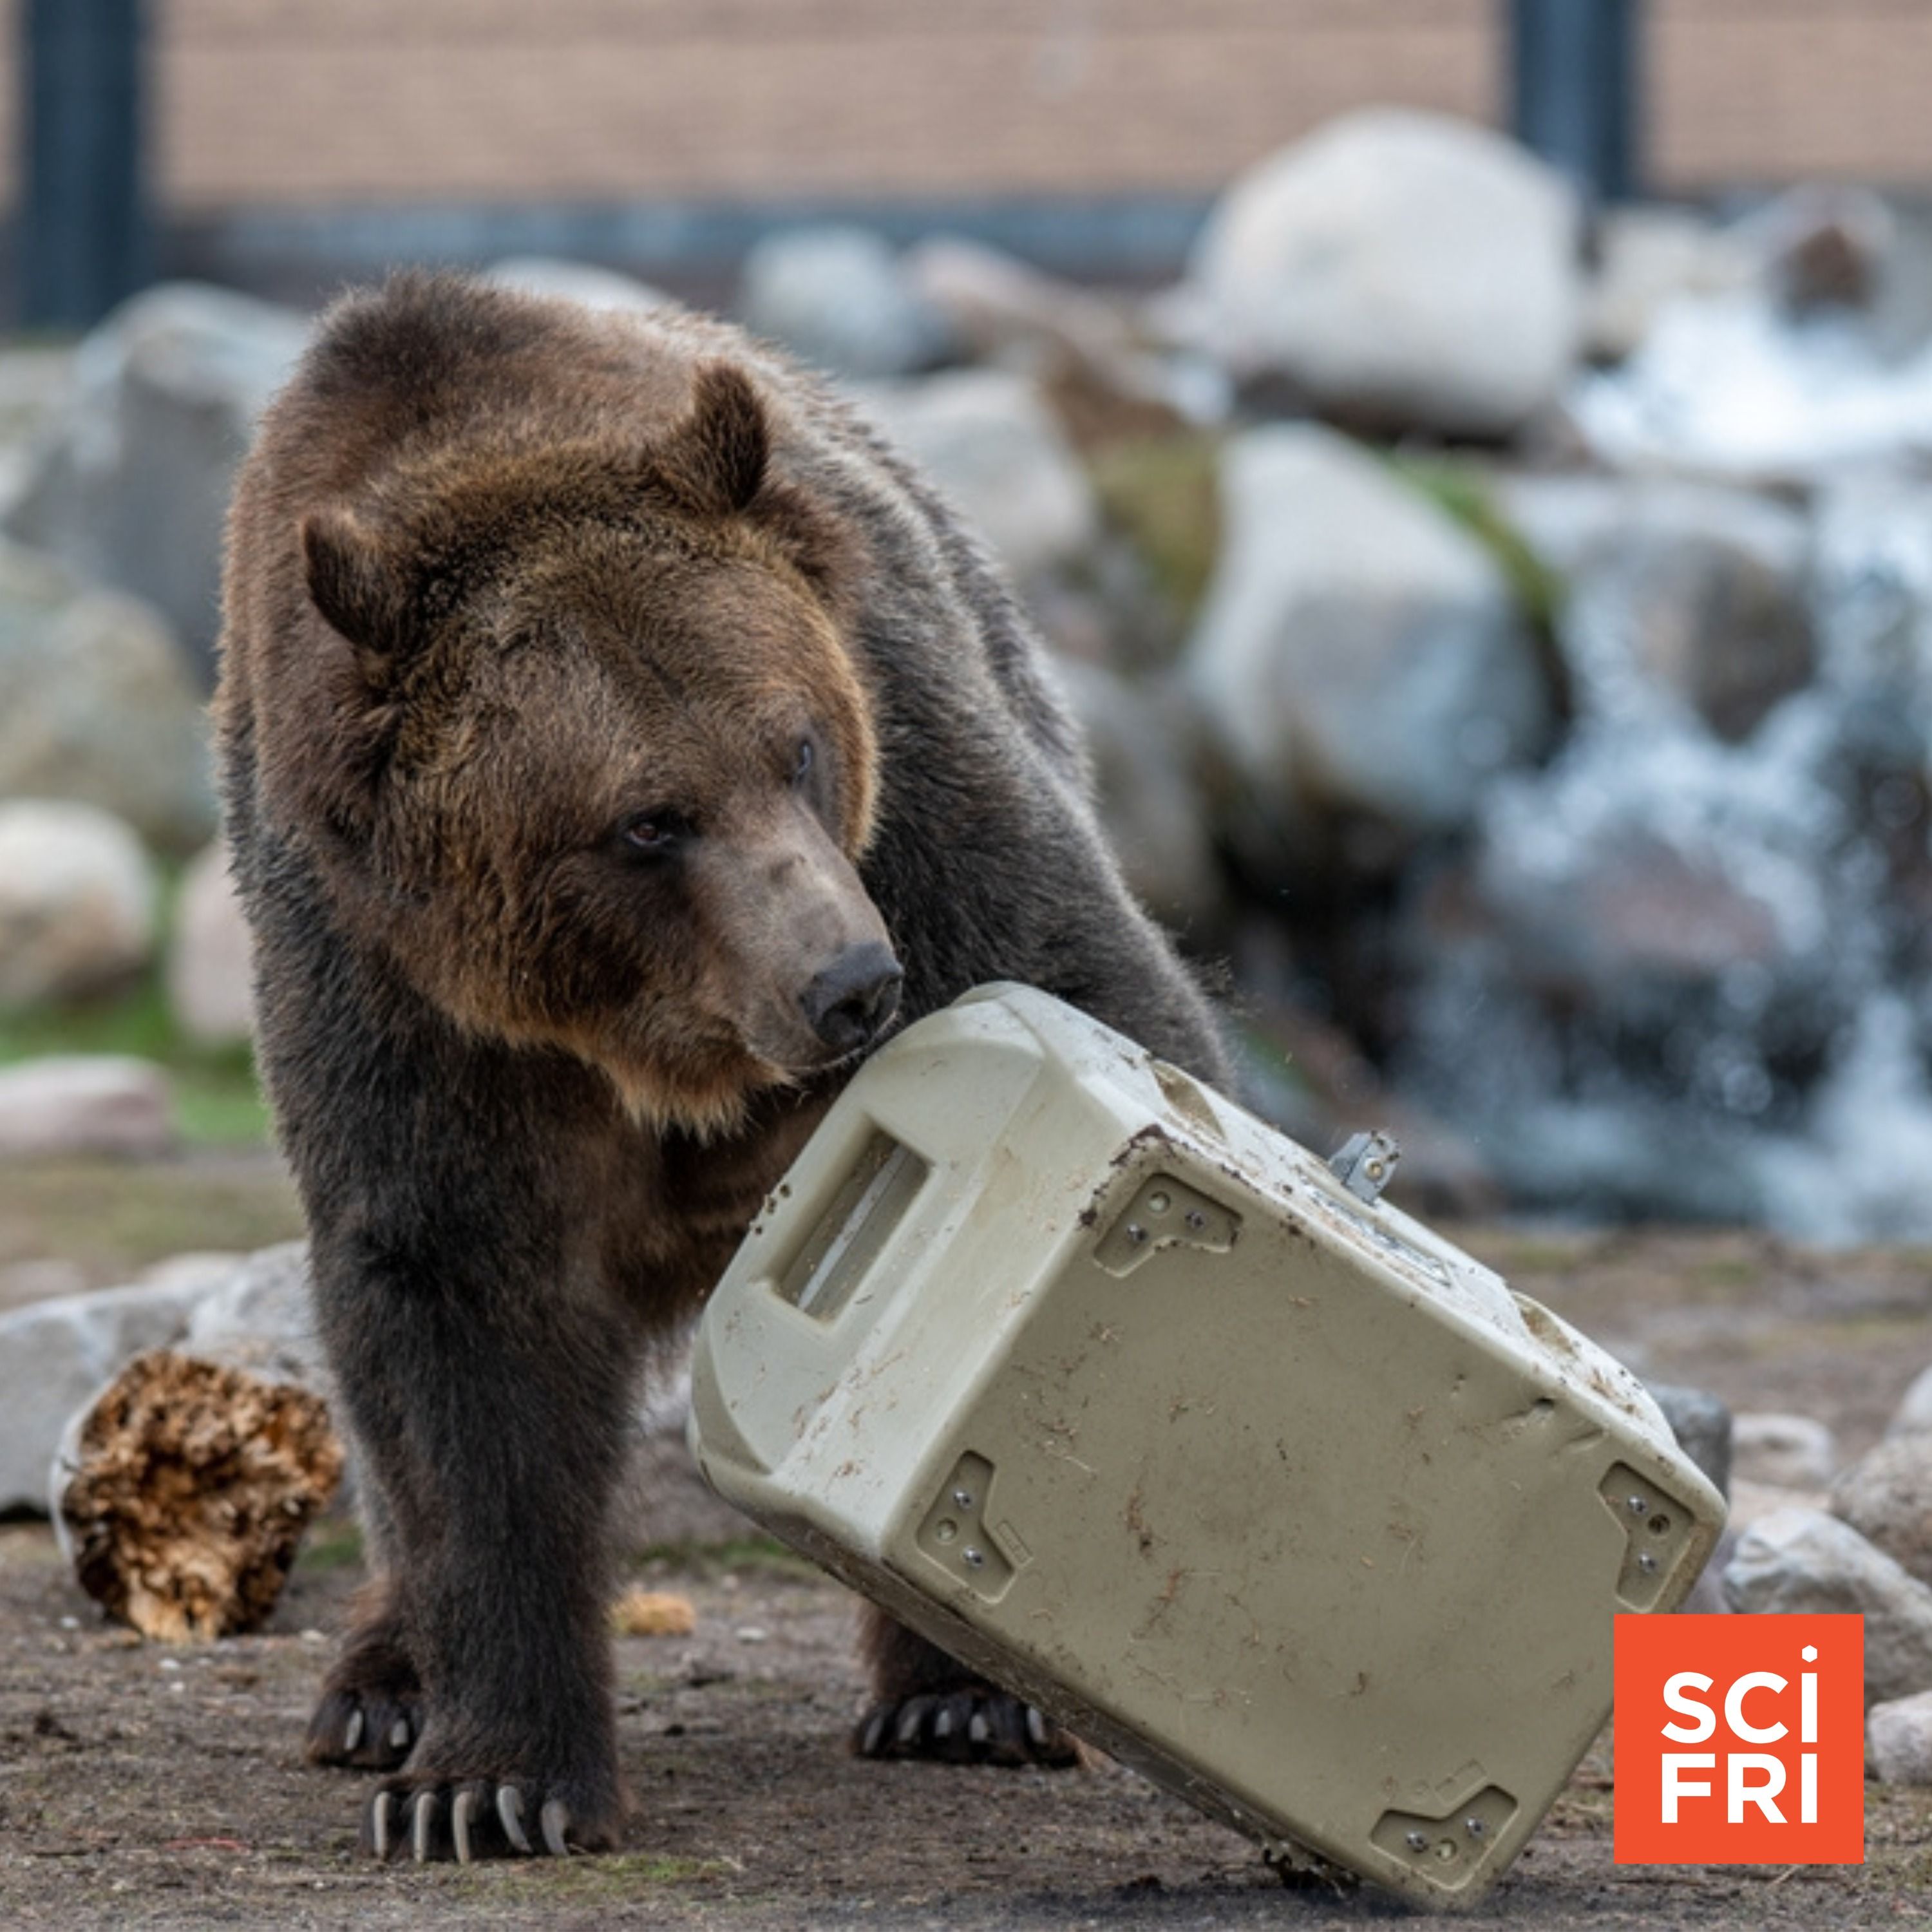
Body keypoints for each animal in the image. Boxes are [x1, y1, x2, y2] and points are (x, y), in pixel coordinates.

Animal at [215, 270, 1230, 1863]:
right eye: (647, 820)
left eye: (796, 745)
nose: (850, 982)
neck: (646, 1039)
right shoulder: (396, 990)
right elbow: (455, 1322)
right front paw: (484, 1782)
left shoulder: (924, 797)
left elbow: (1100, 1002)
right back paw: (377, 1683)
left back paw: (959, 1701)